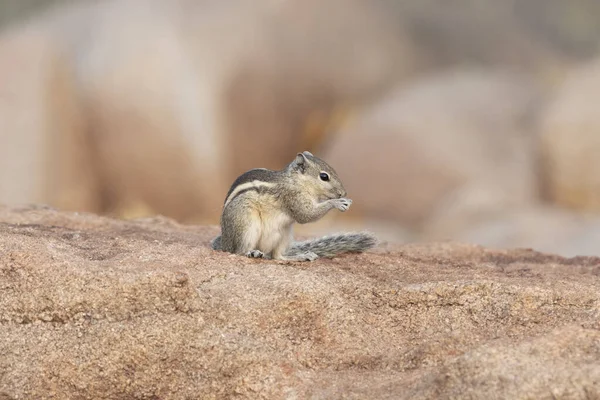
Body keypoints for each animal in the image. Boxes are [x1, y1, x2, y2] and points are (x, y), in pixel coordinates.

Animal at [211, 152, 376, 260]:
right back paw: (251, 253)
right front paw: (337, 203)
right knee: (237, 251)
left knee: (277, 257)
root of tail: (224, 243)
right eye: (324, 176)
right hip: (245, 223)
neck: (296, 181)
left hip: (284, 233)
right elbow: (306, 215)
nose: (343, 193)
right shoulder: (293, 197)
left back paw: (300, 256)